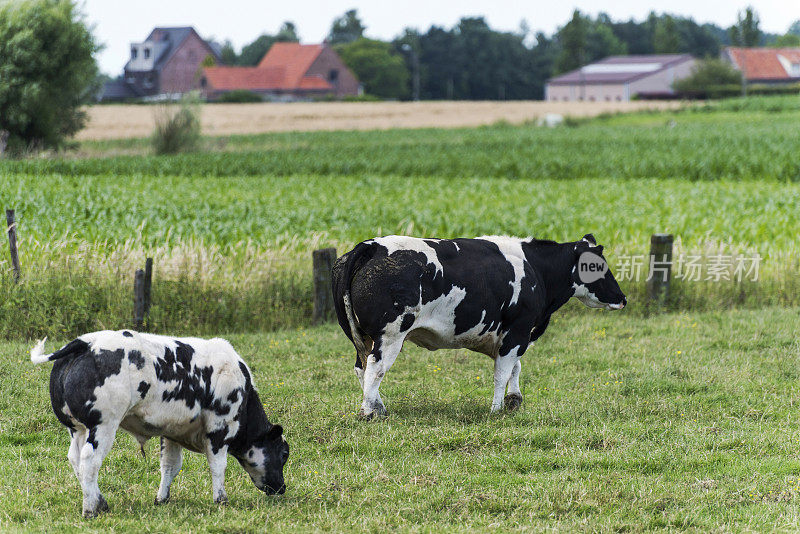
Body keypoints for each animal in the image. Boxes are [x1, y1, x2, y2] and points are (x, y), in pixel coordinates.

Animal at [29, 330, 290, 520]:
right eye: (285, 453)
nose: (282, 488)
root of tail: (85, 342)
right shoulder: (219, 428)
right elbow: (218, 466)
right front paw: (221, 500)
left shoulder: (172, 433)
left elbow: (170, 466)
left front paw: (162, 499)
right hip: (103, 425)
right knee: (89, 460)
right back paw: (91, 509)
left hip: (77, 428)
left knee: (75, 460)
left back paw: (100, 501)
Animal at [334, 234, 628, 418]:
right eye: (596, 266)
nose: (622, 298)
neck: (536, 269)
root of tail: (371, 246)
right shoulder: (518, 330)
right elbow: (502, 372)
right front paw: (497, 409)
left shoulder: (509, 335)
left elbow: (515, 368)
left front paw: (514, 400)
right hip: (390, 336)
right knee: (376, 368)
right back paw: (370, 412)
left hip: (362, 337)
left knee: (362, 368)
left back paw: (378, 407)